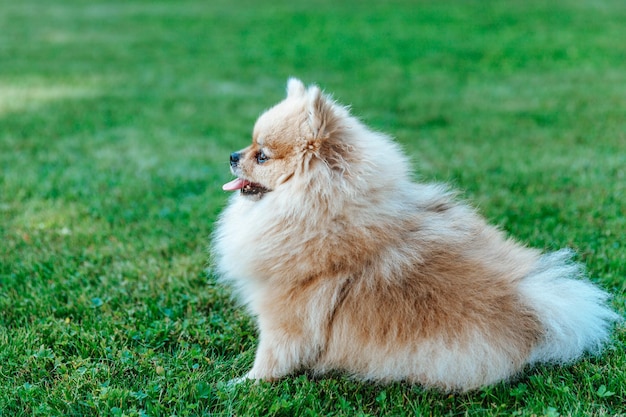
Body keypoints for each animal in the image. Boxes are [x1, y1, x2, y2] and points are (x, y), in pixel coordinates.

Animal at [210, 77, 616, 390]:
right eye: (249, 145)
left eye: (262, 155)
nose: (232, 155)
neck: (323, 212)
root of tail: (532, 308)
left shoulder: (285, 313)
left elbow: (272, 358)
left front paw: (241, 383)